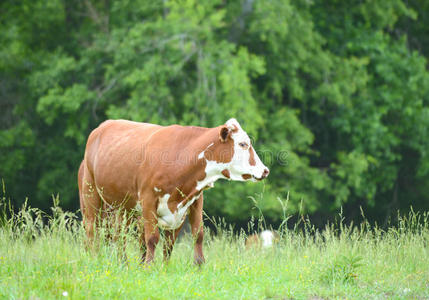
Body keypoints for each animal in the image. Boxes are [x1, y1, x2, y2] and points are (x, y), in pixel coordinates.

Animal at [77, 118, 268, 264]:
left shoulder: (191, 202)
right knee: (92, 230)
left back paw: (122, 263)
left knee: (118, 235)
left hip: (122, 207)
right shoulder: (148, 200)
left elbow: (192, 237)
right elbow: (152, 238)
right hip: (90, 196)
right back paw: (93, 259)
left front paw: (195, 266)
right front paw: (149, 267)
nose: (265, 170)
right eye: (243, 144)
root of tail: (101, 128)